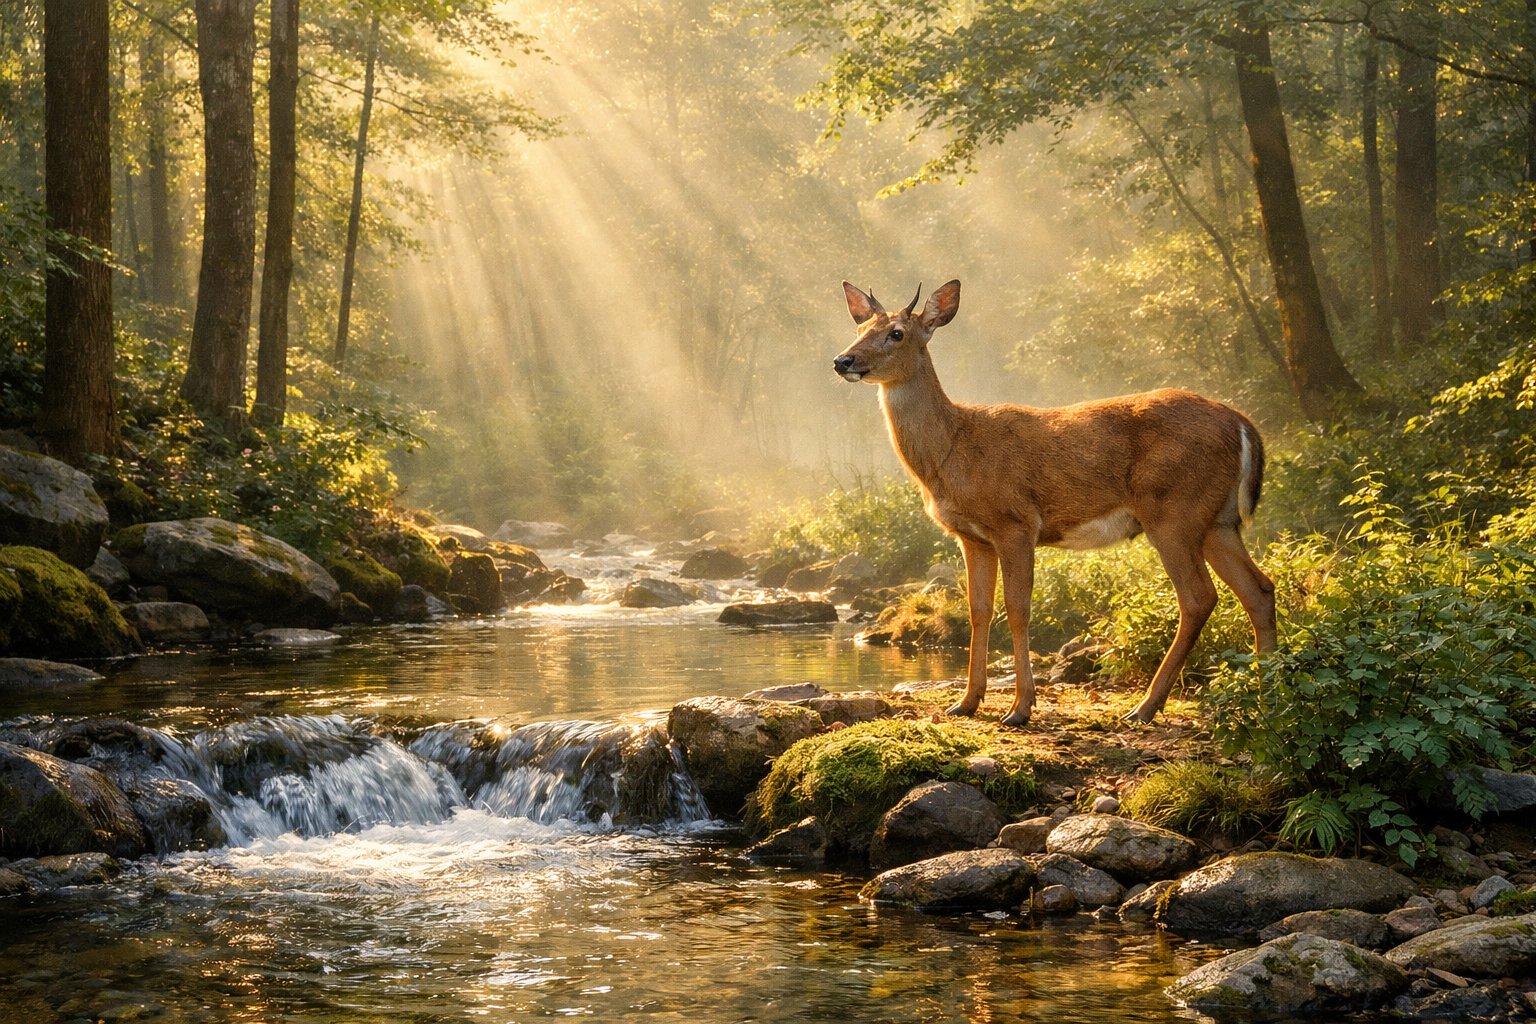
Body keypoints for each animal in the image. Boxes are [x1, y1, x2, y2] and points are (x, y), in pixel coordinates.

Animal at [833, 279, 1276, 726]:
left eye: (897, 333)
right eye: (860, 328)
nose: (842, 359)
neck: (952, 450)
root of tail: (1243, 424)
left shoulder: (1015, 522)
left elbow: (1017, 609)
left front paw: (1020, 707)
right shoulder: (972, 537)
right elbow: (978, 610)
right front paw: (966, 701)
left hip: (1174, 511)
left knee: (1199, 597)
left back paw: (1146, 706)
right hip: (1217, 521)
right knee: (1259, 588)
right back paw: (1268, 693)